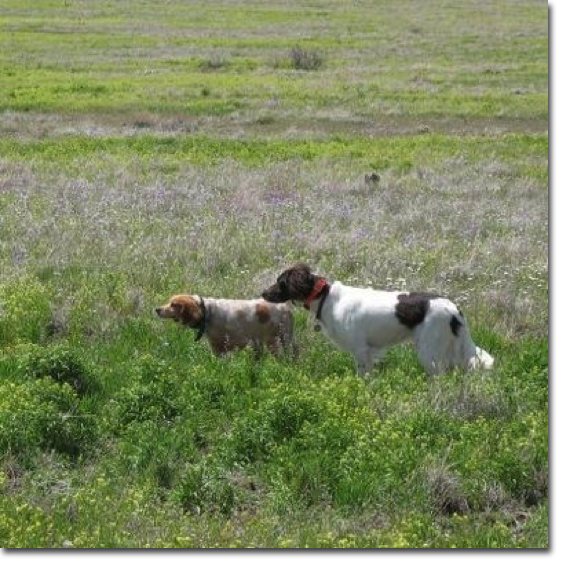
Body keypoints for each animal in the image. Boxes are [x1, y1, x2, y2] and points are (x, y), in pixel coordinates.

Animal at [155, 296, 296, 356]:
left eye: (173, 305)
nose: (157, 309)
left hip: (284, 337)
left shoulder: (241, 342)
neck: (208, 313)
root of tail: (284, 305)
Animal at [260, 264, 492, 374]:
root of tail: (454, 308)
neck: (326, 298)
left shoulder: (361, 350)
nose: (263, 293)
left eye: (280, 282)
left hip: (430, 351)